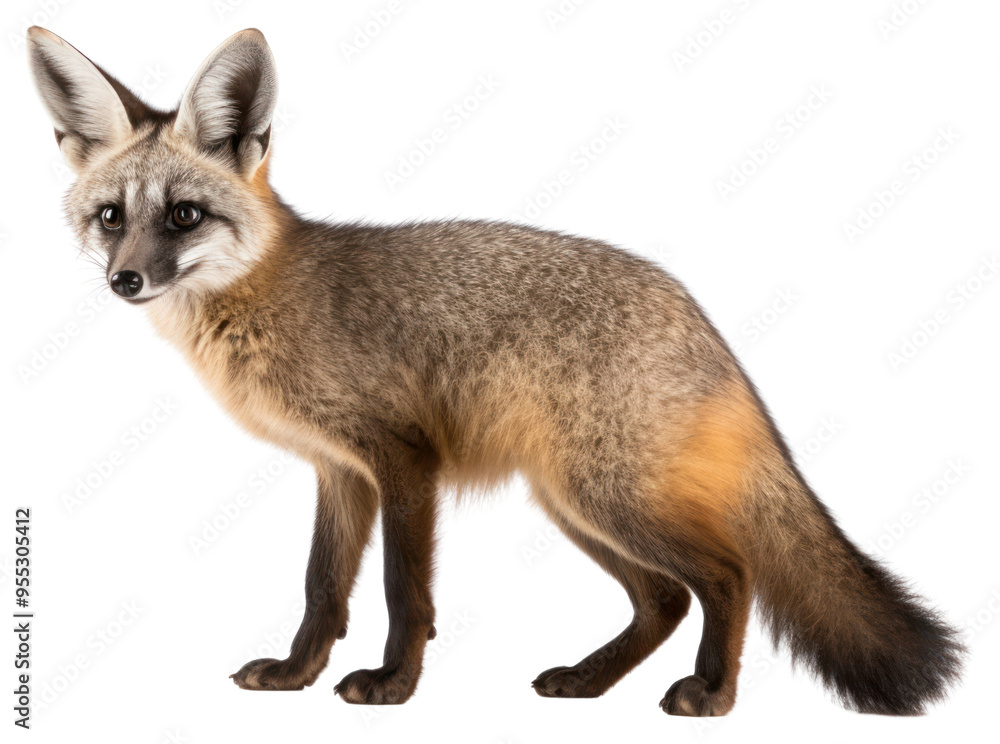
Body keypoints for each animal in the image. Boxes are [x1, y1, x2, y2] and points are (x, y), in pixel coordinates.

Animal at [27, 26, 964, 716]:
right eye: (111, 218)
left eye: (184, 216)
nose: (125, 281)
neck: (268, 301)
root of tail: (700, 317)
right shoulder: (339, 471)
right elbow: (323, 589)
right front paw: (296, 677)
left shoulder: (404, 462)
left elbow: (405, 594)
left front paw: (392, 687)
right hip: (572, 504)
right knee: (664, 599)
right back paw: (588, 682)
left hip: (607, 497)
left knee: (730, 575)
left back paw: (710, 693)